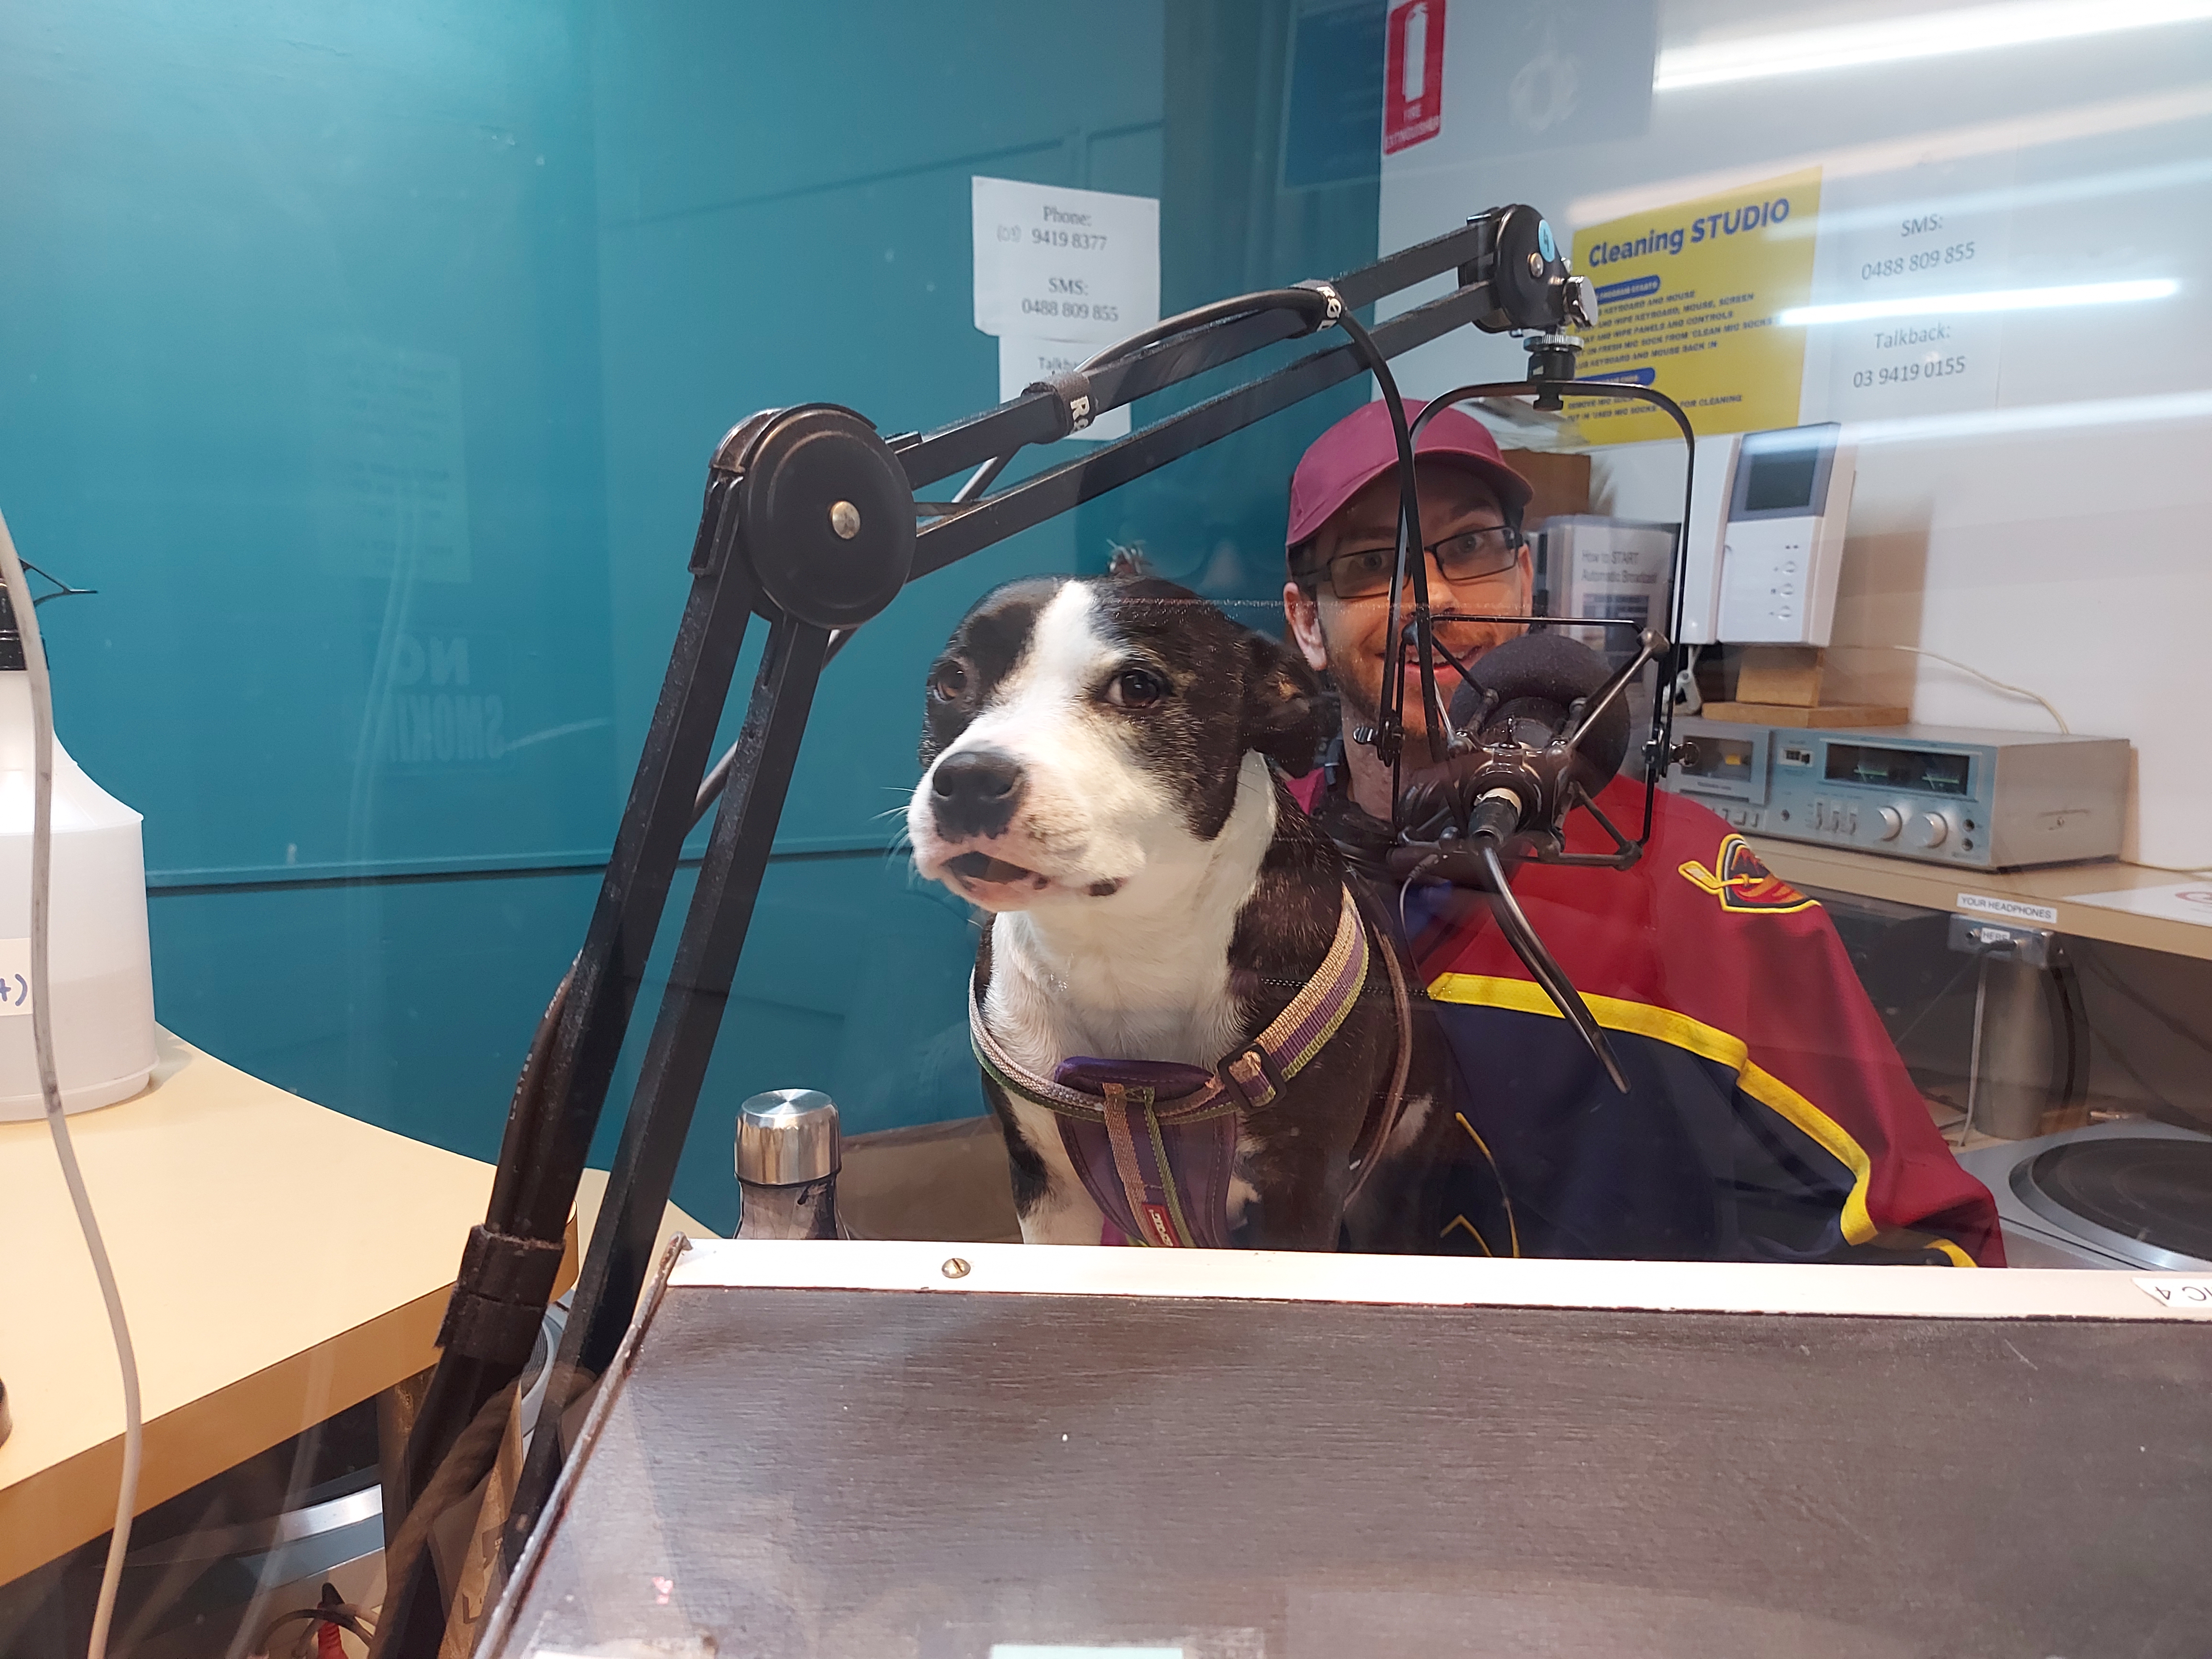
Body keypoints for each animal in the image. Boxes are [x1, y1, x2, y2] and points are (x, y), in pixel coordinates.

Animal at [907, 570, 1442, 1247]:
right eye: (950, 683)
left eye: (1138, 687)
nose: (971, 778)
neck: (1121, 946)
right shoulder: (1046, 1191)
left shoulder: (1302, 1194)